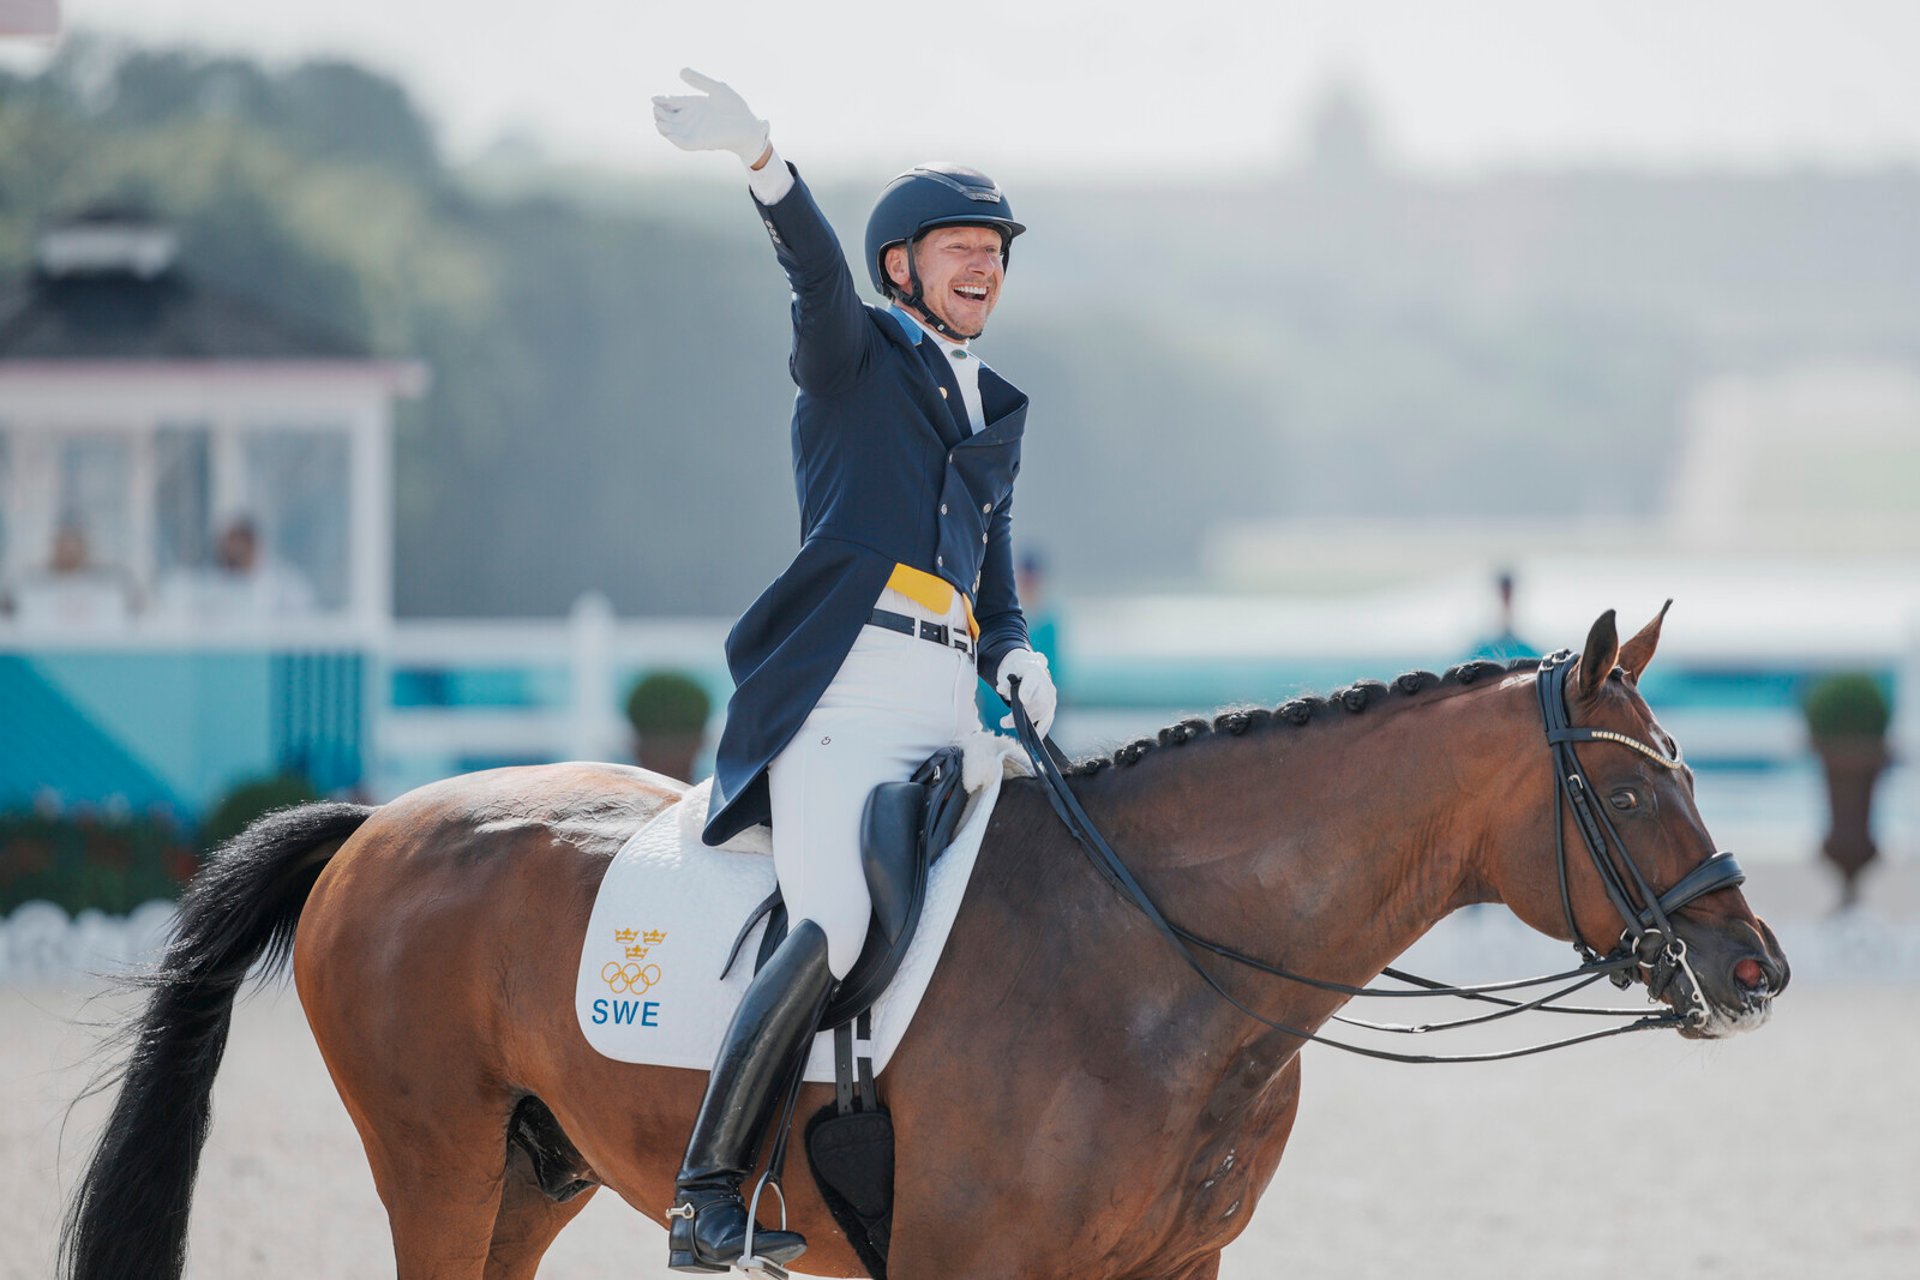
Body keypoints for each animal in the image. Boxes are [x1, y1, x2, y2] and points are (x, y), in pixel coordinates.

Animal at [71, 614, 1781, 1280]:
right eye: (1638, 785)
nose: (1757, 968)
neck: (1167, 970)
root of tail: (379, 824)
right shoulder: (978, 1262)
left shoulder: (1178, 1262)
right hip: (433, 1161)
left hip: (528, 1176)